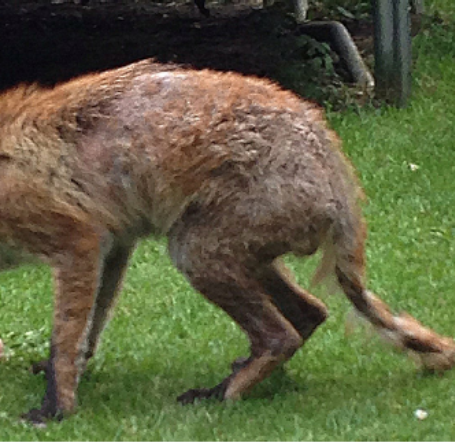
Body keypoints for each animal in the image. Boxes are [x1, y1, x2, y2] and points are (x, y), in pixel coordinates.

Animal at [0, 60, 455, 424]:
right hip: (239, 257)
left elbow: (65, 341)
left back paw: (221, 394)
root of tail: (333, 162)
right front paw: (74, 376)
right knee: (310, 313)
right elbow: (88, 333)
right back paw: (248, 375)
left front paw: (57, 409)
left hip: (194, 252)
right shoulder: (113, 245)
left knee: (280, 334)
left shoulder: (78, 242)